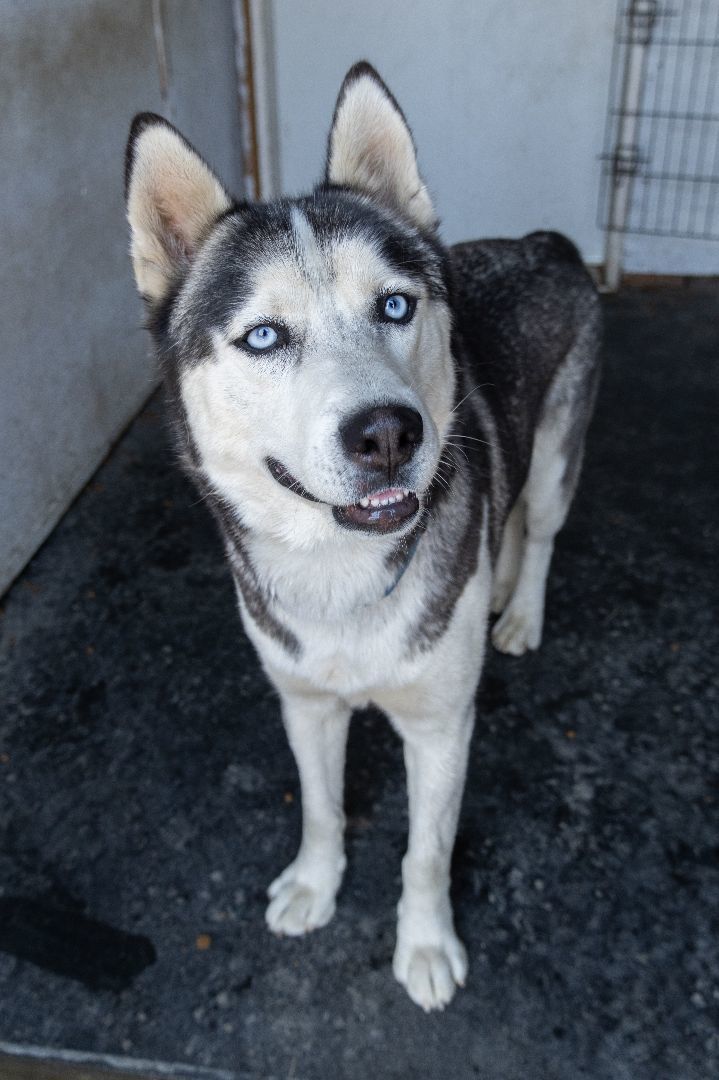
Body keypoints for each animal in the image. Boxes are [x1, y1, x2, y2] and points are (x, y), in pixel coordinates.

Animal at [124, 61, 600, 1010]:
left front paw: (424, 947)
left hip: (560, 455)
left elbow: (425, 853)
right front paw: (315, 885)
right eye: (263, 335)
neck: (339, 576)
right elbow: (320, 806)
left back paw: (521, 611)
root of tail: (548, 243)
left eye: (394, 305)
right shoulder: (303, 703)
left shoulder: (442, 727)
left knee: (538, 530)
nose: (387, 433)